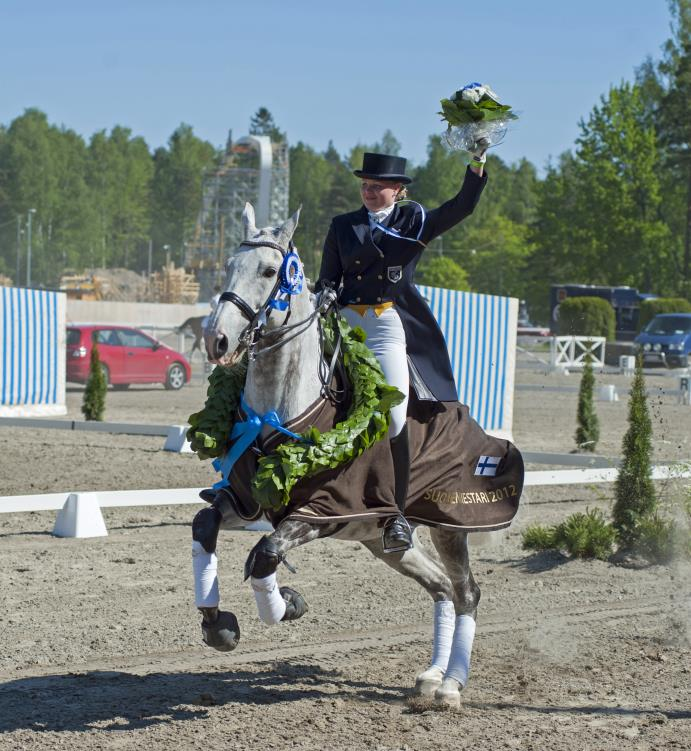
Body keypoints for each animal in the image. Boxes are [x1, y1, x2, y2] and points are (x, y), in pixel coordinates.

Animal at [192, 203, 484, 708]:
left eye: (268, 271)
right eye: (228, 265)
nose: (217, 340)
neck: (278, 409)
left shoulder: (321, 513)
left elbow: (265, 555)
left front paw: (288, 603)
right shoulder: (247, 502)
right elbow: (205, 525)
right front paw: (219, 626)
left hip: (450, 525)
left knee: (466, 591)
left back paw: (451, 686)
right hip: (382, 542)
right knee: (442, 587)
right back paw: (430, 677)